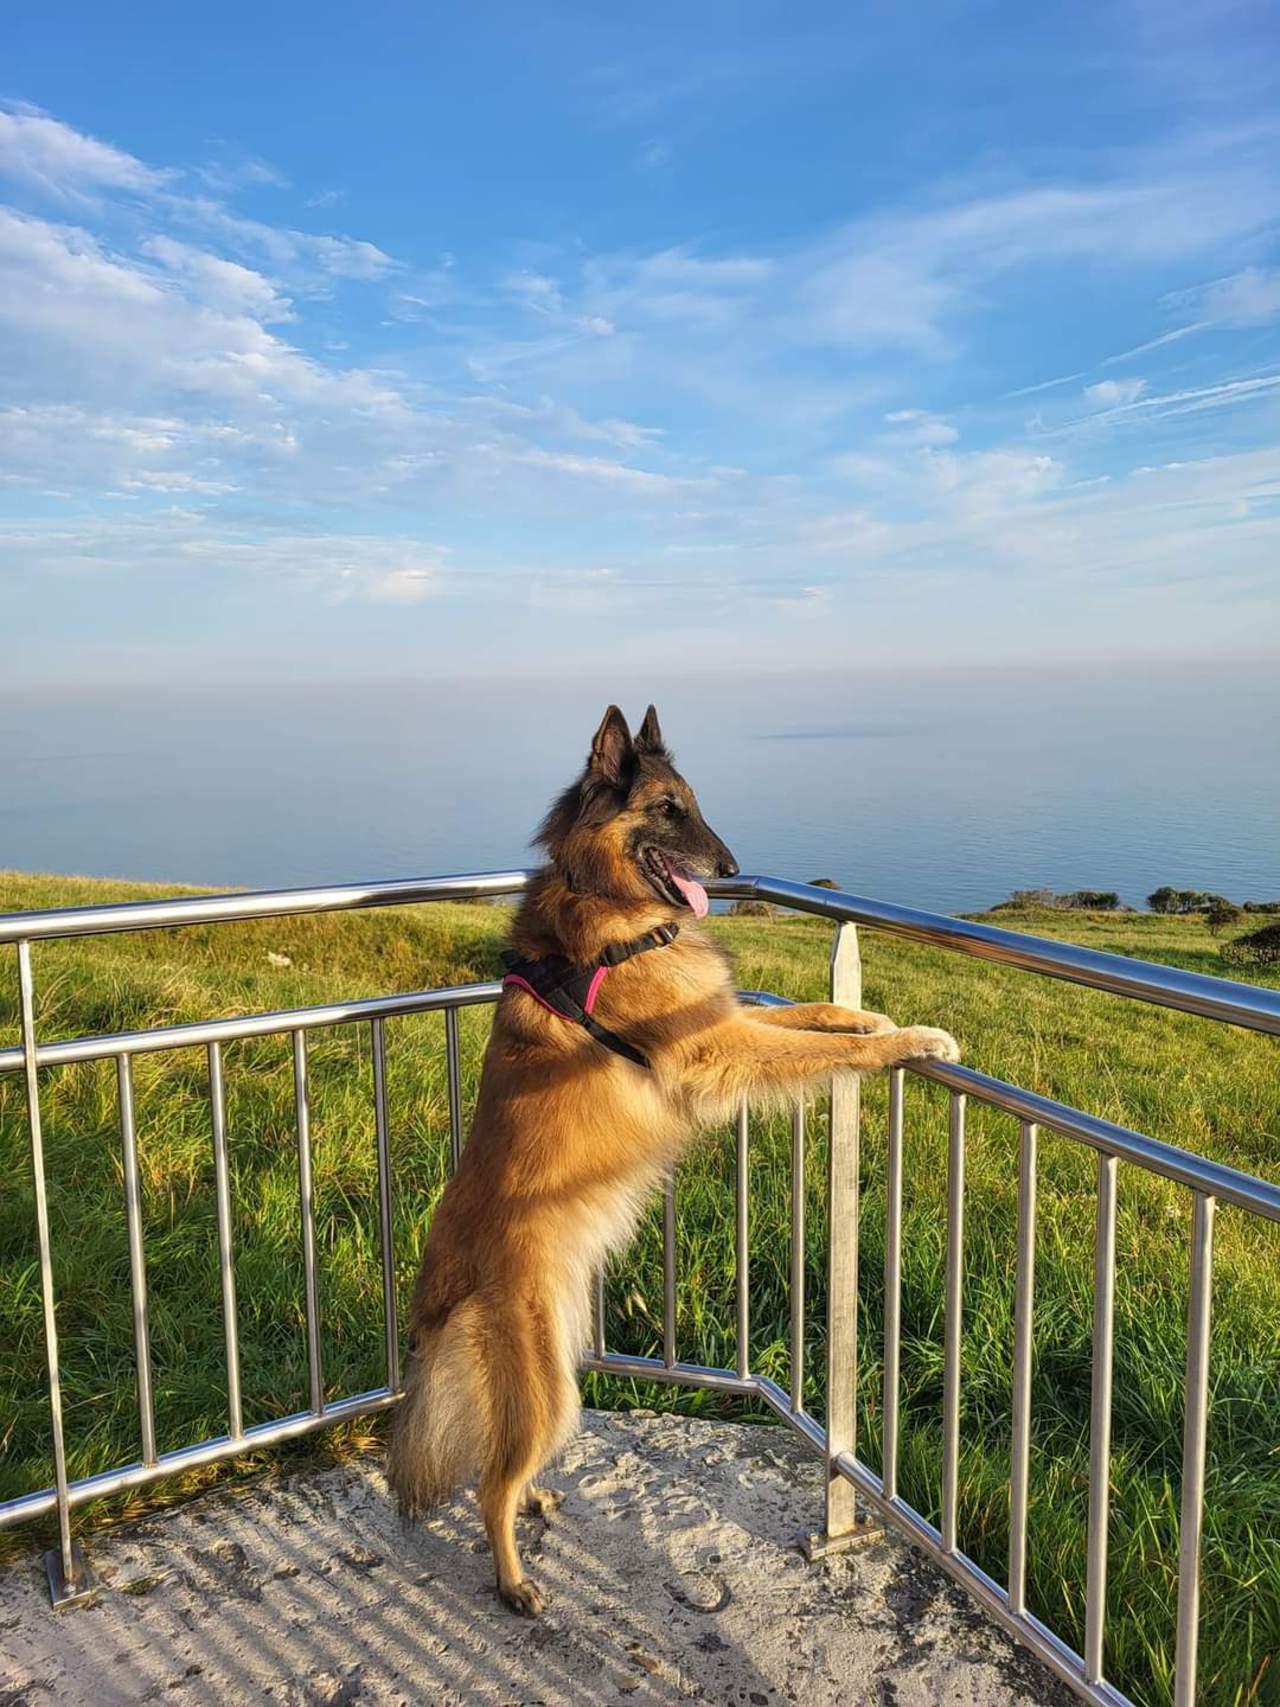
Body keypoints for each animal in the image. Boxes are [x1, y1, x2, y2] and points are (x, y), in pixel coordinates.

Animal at [390, 703, 962, 1611]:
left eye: (693, 802)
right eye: (665, 809)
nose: (729, 869)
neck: (605, 899)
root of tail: (446, 1266)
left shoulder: (726, 1018)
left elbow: (811, 1012)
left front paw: (867, 1017)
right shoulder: (716, 1046)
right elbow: (810, 1047)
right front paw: (908, 1039)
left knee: (505, 1466)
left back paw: (537, 1499)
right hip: (547, 1381)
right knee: (488, 1485)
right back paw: (514, 1582)